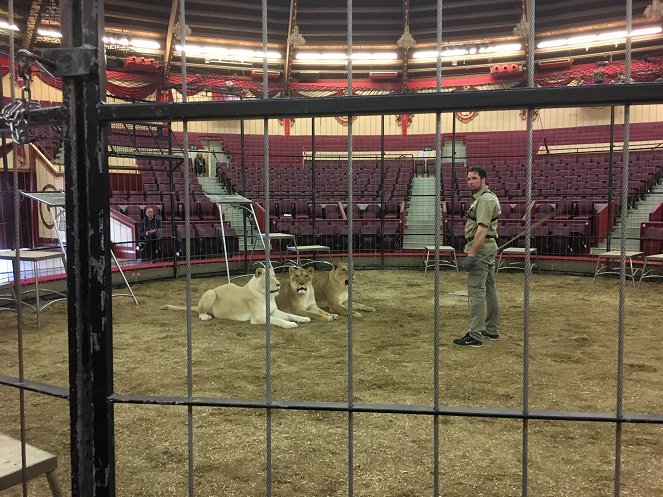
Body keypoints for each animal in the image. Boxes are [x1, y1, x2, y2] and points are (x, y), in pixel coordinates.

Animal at [160, 266, 312, 328]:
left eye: (274, 276)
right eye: (268, 278)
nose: (279, 284)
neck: (267, 296)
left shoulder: (273, 311)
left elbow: (290, 315)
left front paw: (303, 318)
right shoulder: (258, 317)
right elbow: (279, 320)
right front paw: (290, 324)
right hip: (210, 293)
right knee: (200, 312)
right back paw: (206, 317)